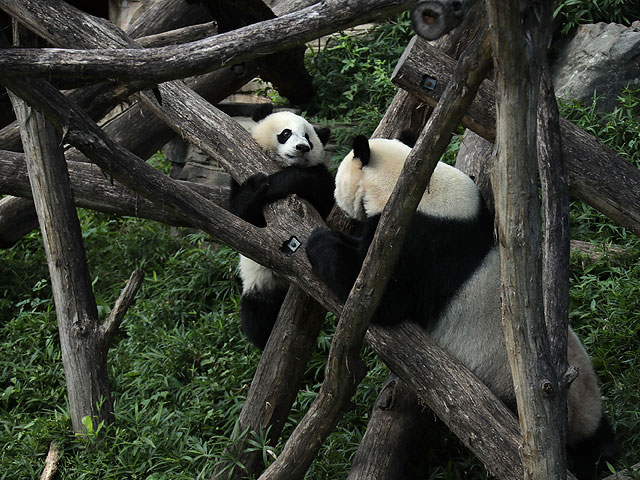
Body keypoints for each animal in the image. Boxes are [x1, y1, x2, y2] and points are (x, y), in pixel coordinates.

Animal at [230, 106, 332, 348]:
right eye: (286, 133)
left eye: (308, 137)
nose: (302, 148)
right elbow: (239, 216)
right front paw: (258, 185)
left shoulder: (321, 178)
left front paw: (289, 180)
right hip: (261, 285)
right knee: (256, 316)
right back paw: (264, 338)